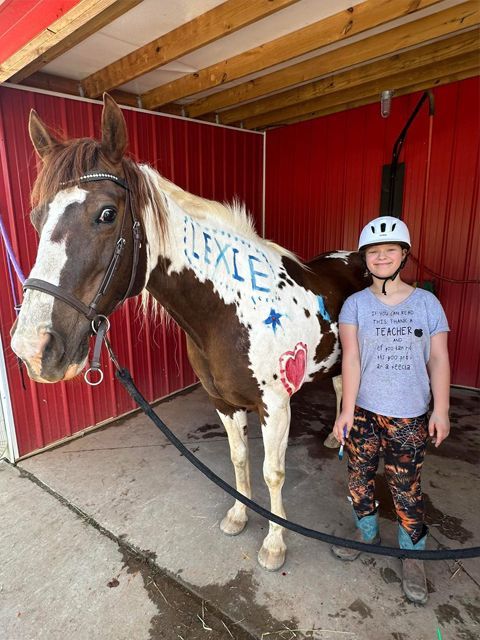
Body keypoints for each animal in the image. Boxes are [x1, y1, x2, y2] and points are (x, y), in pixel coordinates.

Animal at [11, 94, 369, 571]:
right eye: (36, 217)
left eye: (106, 214)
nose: (32, 349)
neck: (232, 311)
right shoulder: (223, 401)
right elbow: (239, 459)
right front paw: (238, 516)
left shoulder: (275, 406)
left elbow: (273, 472)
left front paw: (275, 544)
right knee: (339, 385)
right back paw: (332, 436)